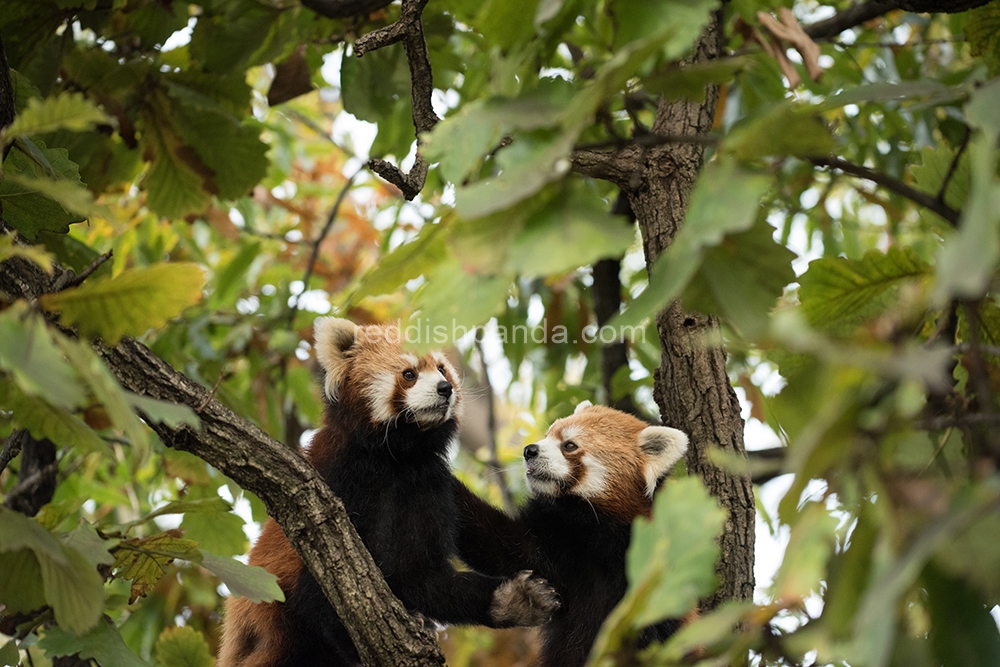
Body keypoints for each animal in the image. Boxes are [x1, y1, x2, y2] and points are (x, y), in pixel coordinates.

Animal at [219, 320, 560, 667]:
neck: (397, 458)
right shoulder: (340, 482)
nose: (445, 389)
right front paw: (354, 638)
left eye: (441, 369)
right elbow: (328, 587)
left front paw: (512, 600)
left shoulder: (428, 486)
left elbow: (420, 575)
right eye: (409, 374)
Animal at [454, 402, 688, 667]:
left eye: (569, 445)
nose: (529, 450)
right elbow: (500, 545)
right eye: (547, 435)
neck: (593, 530)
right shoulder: (554, 546)